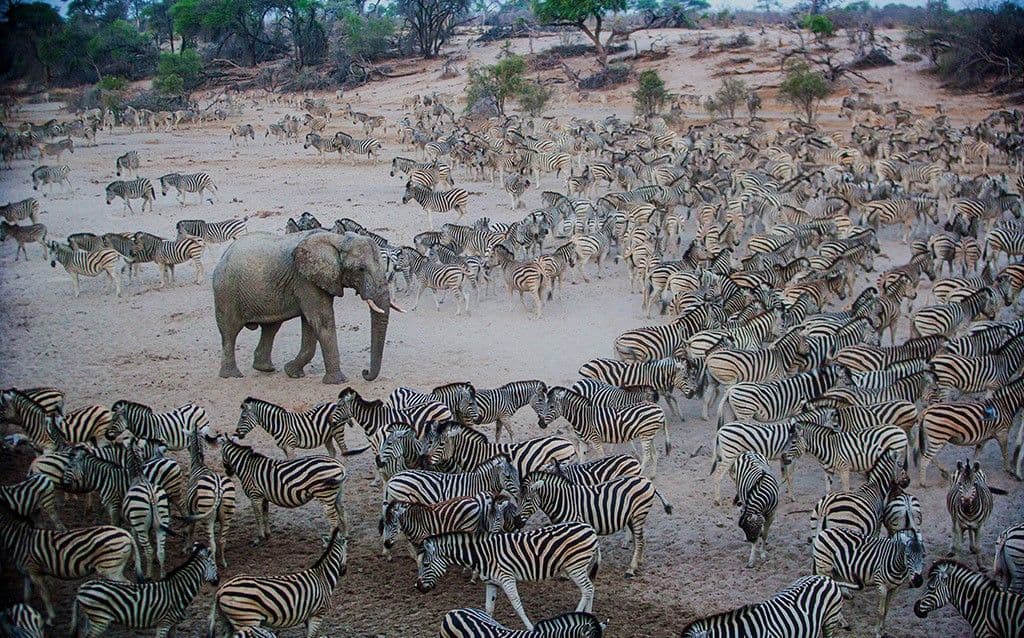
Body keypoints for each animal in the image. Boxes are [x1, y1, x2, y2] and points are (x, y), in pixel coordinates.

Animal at [212, 230, 401, 384]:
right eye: (361, 269)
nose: (365, 372)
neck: (338, 240)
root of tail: (224, 255)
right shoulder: (305, 279)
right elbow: (322, 321)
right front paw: (338, 381)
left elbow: (311, 325)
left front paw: (292, 372)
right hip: (226, 290)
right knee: (230, 330)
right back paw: (232, 376)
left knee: (271, 328)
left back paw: (265, 369)